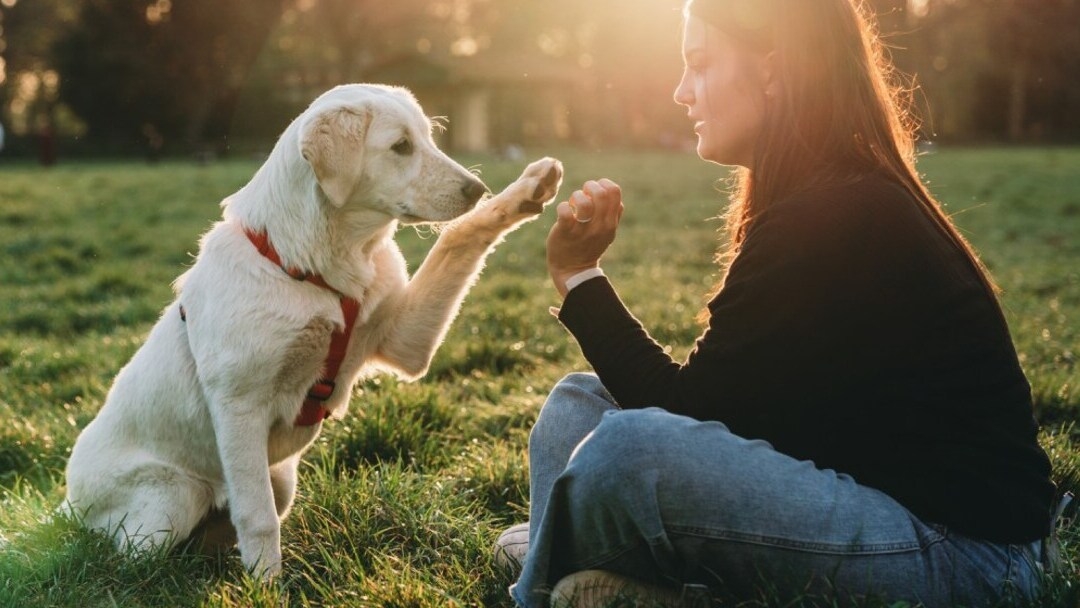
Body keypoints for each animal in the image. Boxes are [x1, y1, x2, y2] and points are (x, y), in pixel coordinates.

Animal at [65, 84, 565, 574]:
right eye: (400, 146)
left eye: (428, 138)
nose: (477, 188)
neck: (319, 268)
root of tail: (65, 504)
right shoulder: (238, 405)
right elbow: (258, 518)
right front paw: (267, 586)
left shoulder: (405, 342)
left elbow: (458, 237)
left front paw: (524, 193)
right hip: (173, 498)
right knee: (132, 556)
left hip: (279, 479)